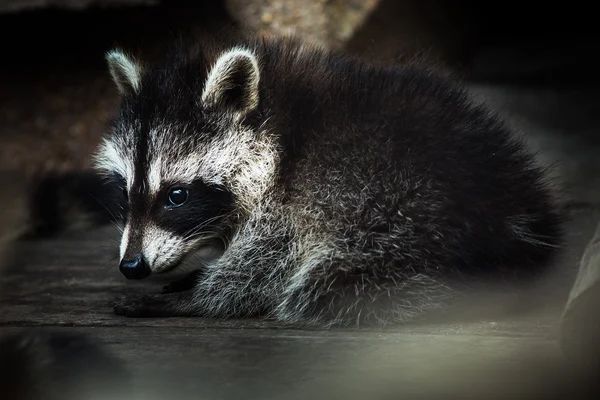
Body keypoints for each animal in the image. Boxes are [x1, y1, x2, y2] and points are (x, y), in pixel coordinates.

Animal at [96, 34, 564, 326]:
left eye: (176, 195)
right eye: (125, 191)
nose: (132, 267)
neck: (276, 126)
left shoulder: (302, 197)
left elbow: (258, 270)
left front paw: (193, 298)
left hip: (404, 220)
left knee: (322, 285)